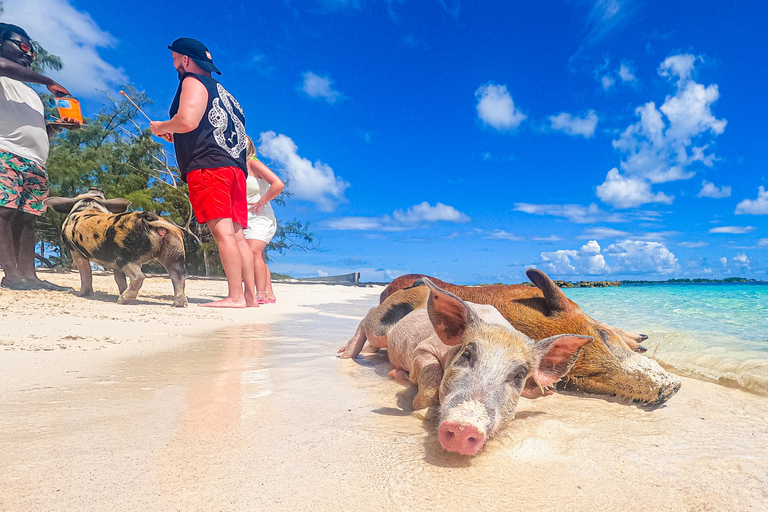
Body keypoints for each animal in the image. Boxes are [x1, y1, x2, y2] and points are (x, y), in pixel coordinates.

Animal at [44, 187, 187, 307]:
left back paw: (122, 300)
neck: (89, 205)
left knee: (139, 276)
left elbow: (85, 272)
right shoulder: (114, 264)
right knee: (178, 276)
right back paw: (179, 304)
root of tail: (150, 218)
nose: (95, 188)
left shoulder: (75, 252)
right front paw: (120, 290)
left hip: (127, 256)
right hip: (174, 251)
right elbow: (119, 279)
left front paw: (82, 294)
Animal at [339, 279, 592, 456]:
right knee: (366, 320)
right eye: (467, 354)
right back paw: (343, 355)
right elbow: (430, 378)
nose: (464, 426)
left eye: (519, 375)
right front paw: (411, 396)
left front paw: (547, 392)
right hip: (381, 327)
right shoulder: (424, 349)